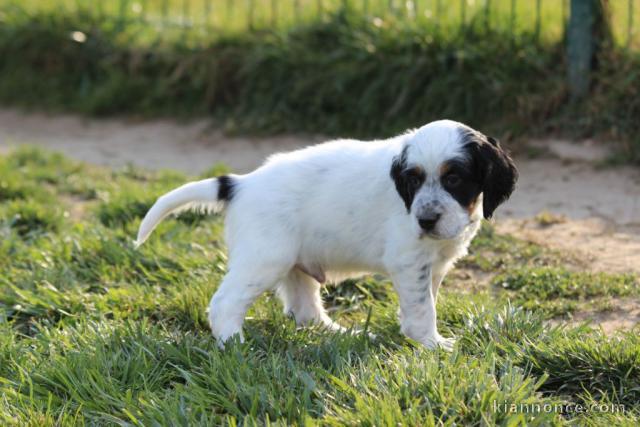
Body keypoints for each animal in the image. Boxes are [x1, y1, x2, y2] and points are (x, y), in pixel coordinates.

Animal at [135, 120, 516, 352]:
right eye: (413, 179)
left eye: (454, 178)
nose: (424, 220)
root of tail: (241, 183)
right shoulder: (409, 262)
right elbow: (424, 308)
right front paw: (433, 344)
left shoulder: (433, 265)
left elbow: (427, 302)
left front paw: (423, 339)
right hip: (265, 258)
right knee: (224, 303)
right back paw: (235, 345)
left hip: (296, 263)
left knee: (304, 311)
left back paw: (338, 333)